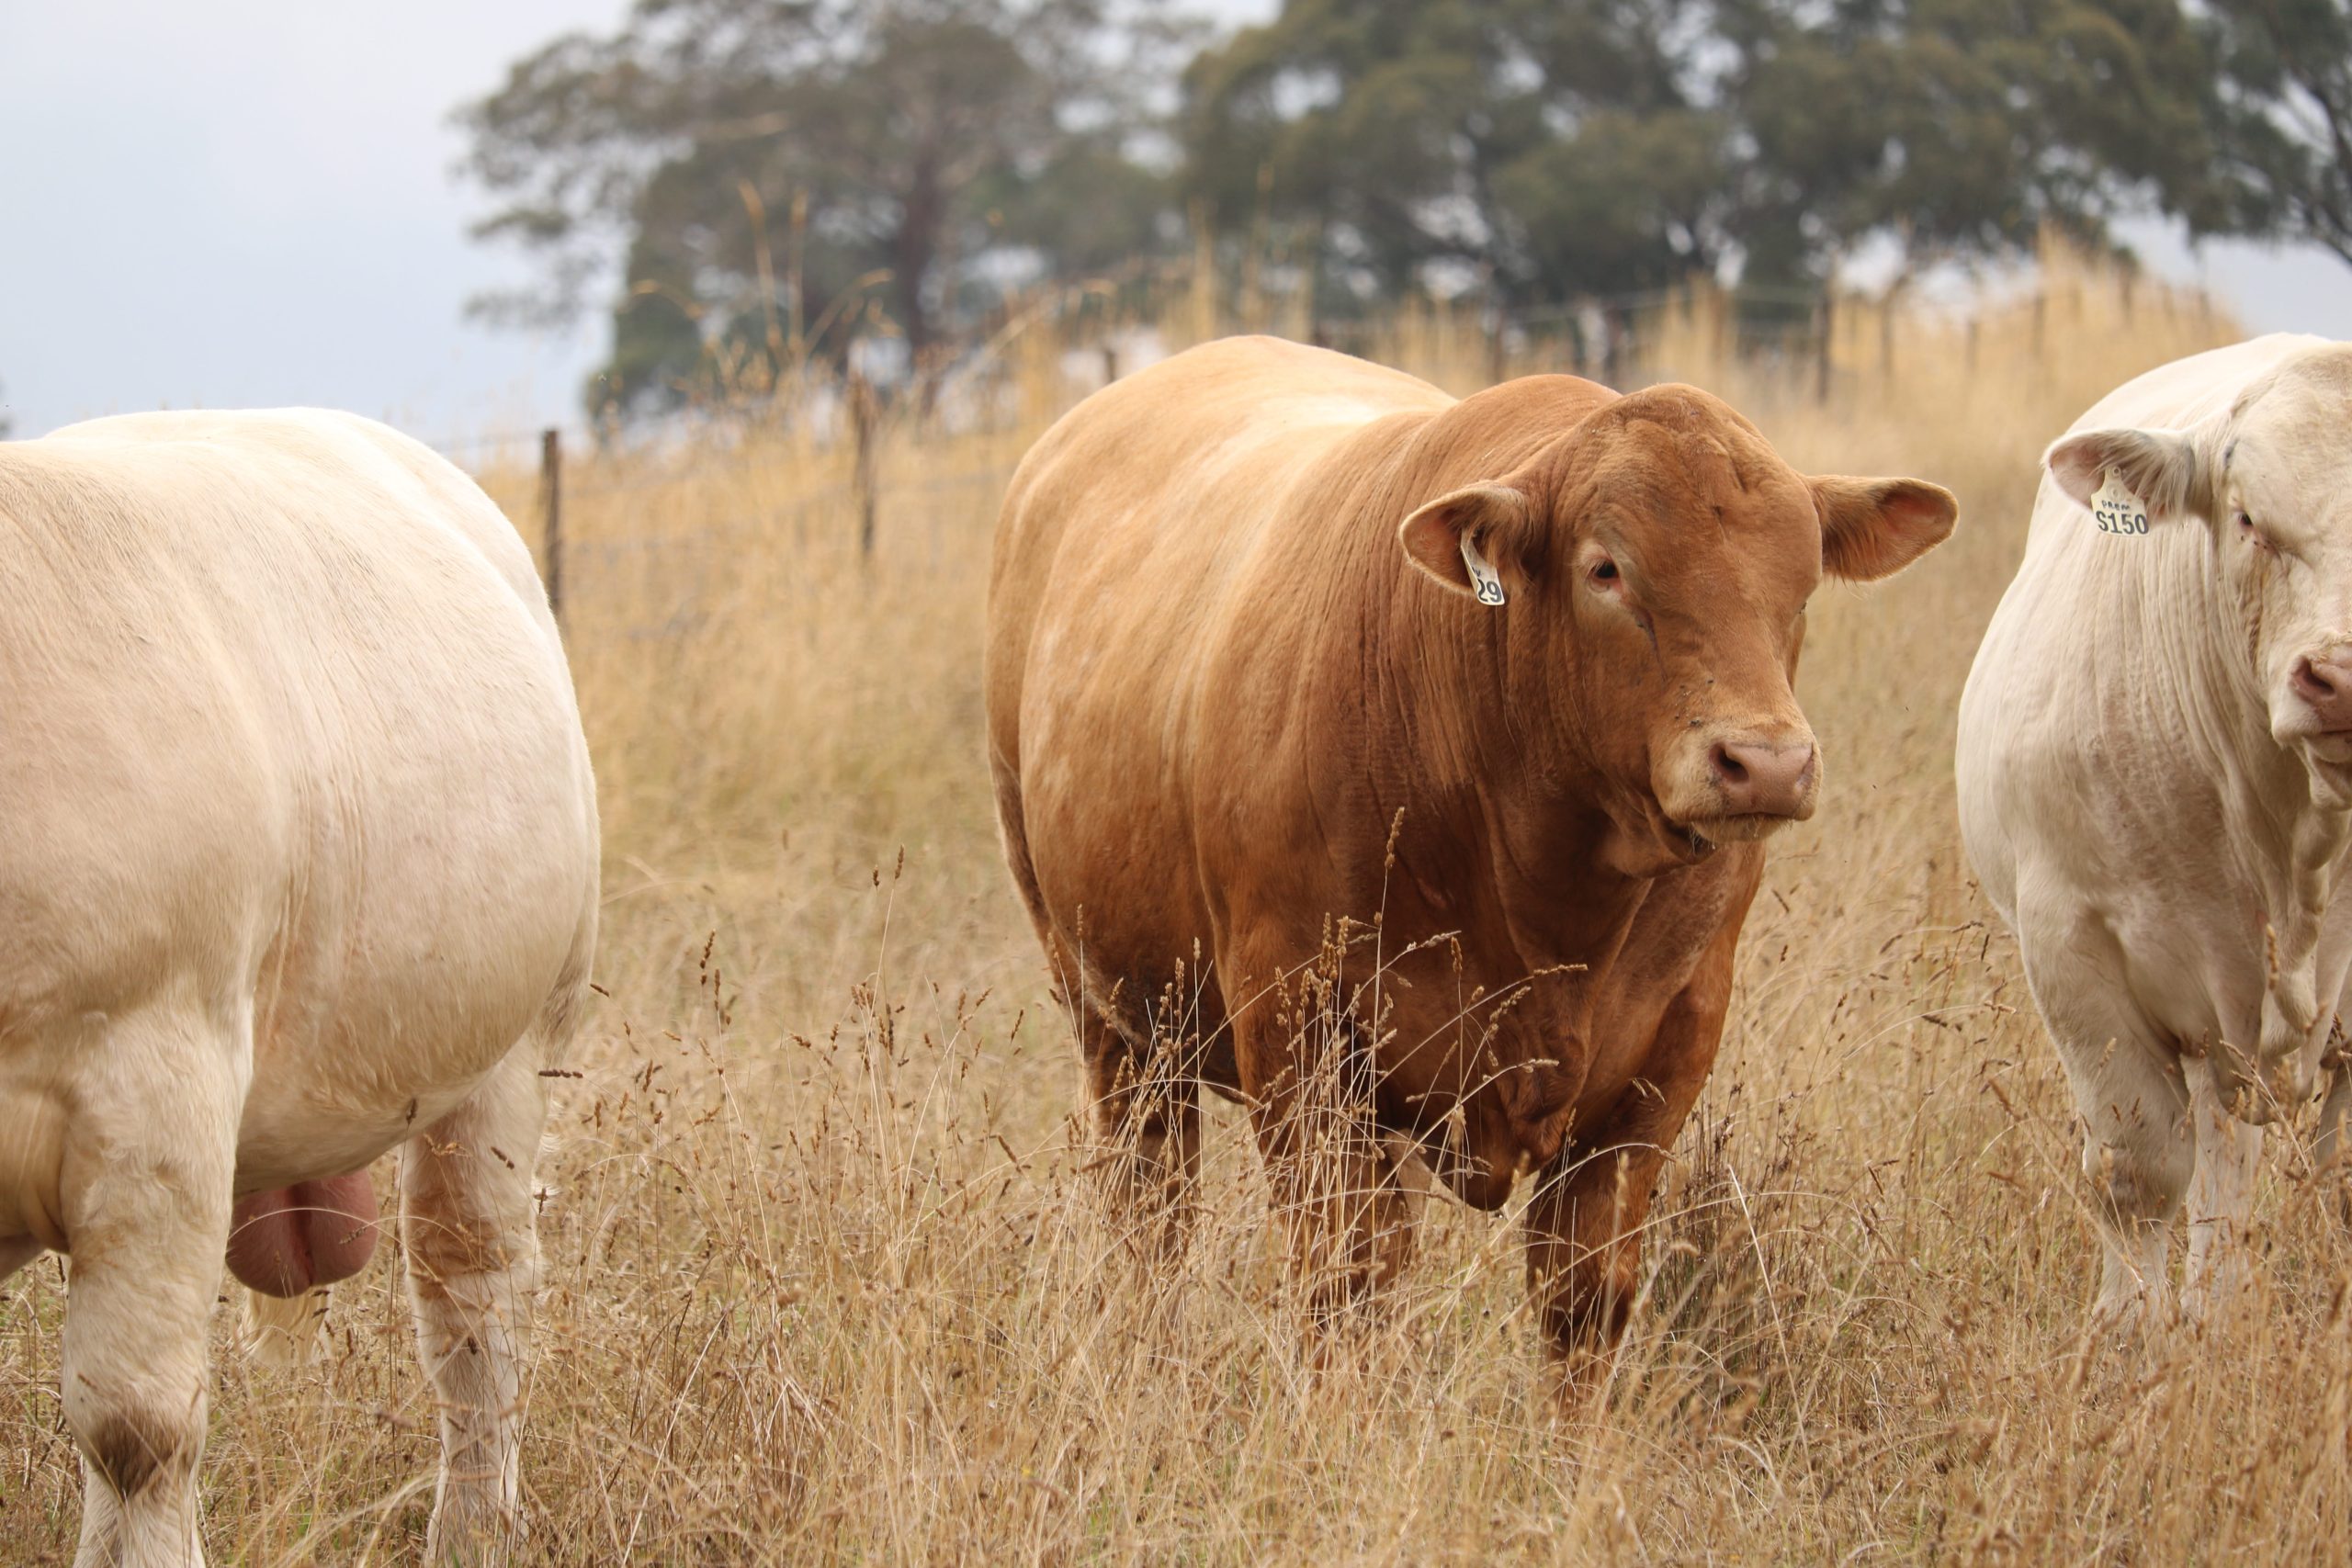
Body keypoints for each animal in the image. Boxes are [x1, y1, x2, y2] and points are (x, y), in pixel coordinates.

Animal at [986, 336, 1956, 1388]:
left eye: (1803, 581)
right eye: (1605, 568)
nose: (1766, 762)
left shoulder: (1670, 1048)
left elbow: (1582, 1298)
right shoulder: (1294, 1028)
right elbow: (1343, 1281)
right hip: (1111, 1016)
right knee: (1152, 1213)